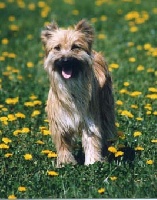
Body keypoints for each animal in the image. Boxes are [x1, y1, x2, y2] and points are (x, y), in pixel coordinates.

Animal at [40, 19, 116, 167]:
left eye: (75, 47)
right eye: (57, 48)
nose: (65, 60)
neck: (71, 87)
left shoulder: (90, 120)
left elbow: (92, 141)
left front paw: (93, 162)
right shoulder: (60, 122)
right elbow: (63, 144)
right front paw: (65, 163)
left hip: (106, 108)